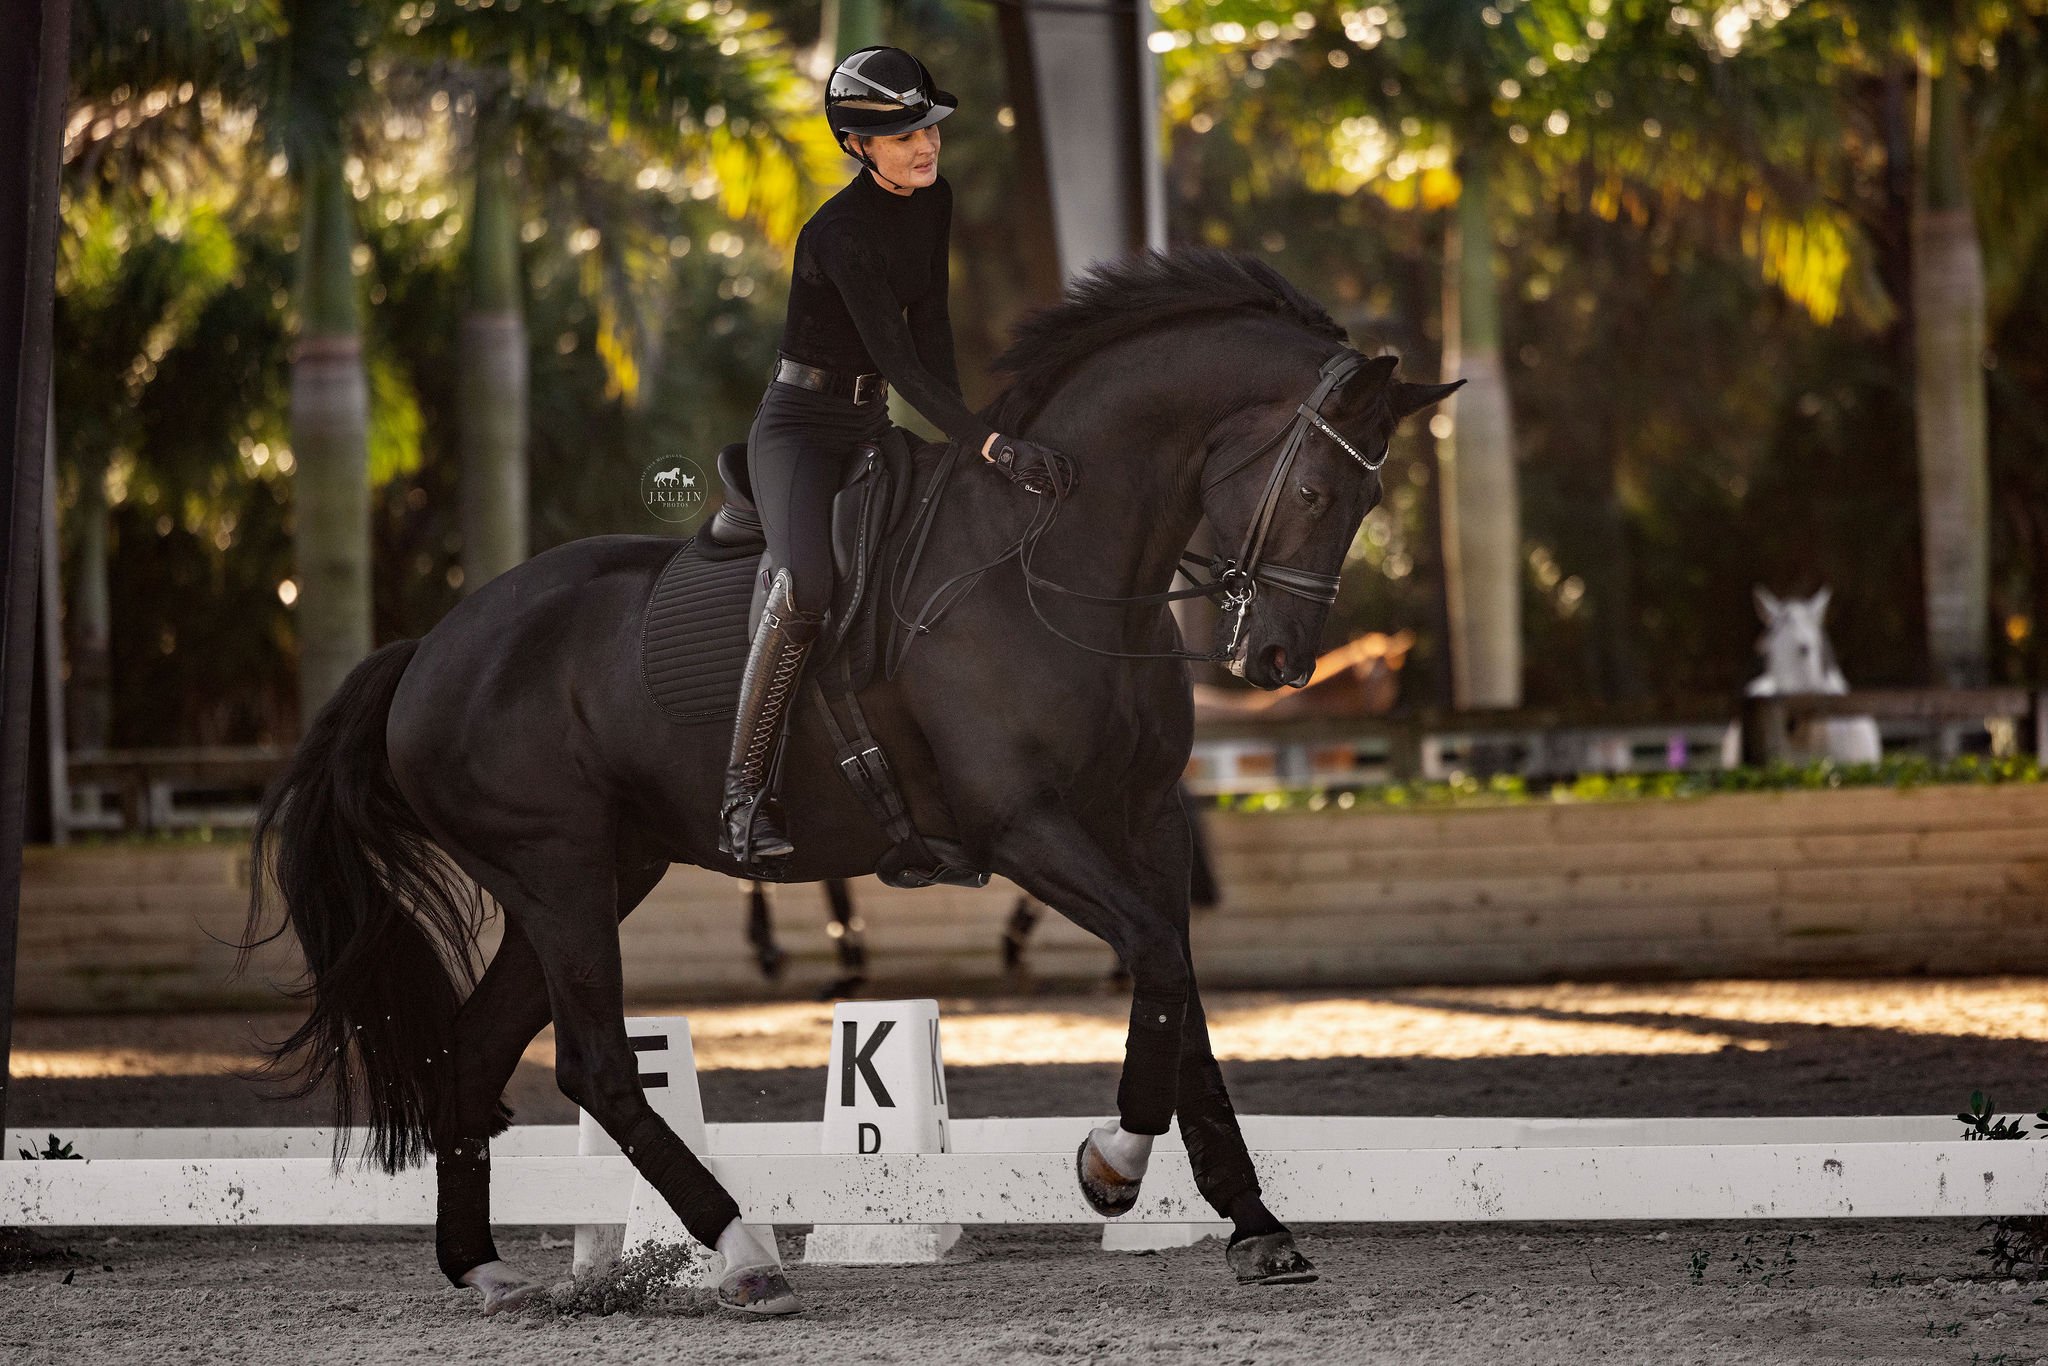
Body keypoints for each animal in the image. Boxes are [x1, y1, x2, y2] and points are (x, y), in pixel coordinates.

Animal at [241, 248, 1459, 1315]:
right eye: (1315, 490)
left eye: (1364, 504)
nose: (1279, 662)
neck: (1056, 557)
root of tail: (429, 649)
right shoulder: (1025, 826)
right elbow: (1158, 961)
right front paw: (1109, 1164)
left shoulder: (1144, 821)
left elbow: (1178, 987)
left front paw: (1253, 1226)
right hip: (560, 873)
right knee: (598, 1066)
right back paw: (741, 1257)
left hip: (593, 876)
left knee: (476, 1052)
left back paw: (488, 1272)